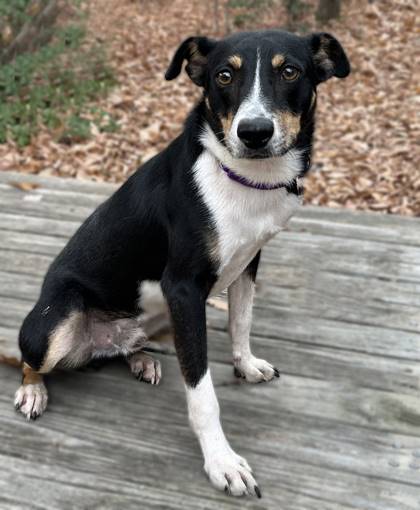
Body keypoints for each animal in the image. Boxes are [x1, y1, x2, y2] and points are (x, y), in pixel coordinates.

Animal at [13, 30, 348, 498]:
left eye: (289, 71)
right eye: (223, 75)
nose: (255, 133)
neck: (242, 178)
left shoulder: (249, 262)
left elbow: (242, 321)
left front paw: (246, 365)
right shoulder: (184, 289)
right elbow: (202, 390)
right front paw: (222, 462)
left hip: (158, 320)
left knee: (126, 346)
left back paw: (140, 358)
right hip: (55, 324)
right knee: (28, 359)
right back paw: (33, 391)